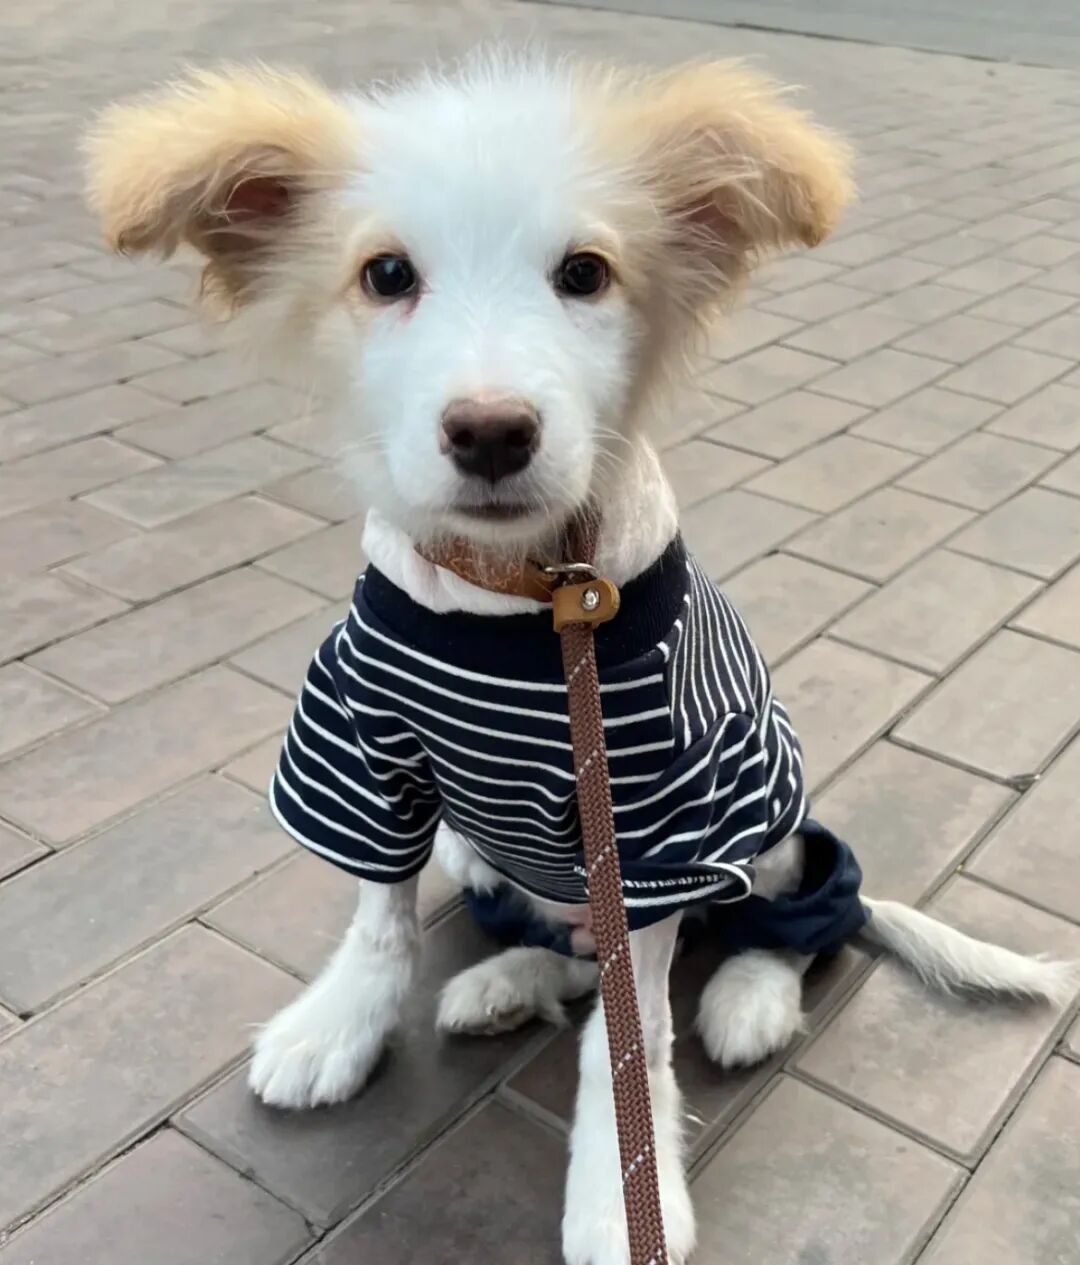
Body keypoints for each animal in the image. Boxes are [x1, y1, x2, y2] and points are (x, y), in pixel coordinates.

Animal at [87, 52, 1076, 1265]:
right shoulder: (363, 752)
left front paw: (623, 1188)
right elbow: (379, 916)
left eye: (586, 274)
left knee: (801, 919)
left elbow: (633, 1033)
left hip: (768, 813)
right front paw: (339, 1027)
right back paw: (504, 983)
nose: (491, 431)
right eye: (384, 273)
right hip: (486, 855)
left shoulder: (657, 822)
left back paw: (748, 998)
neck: (531, 591)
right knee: (566, 946)